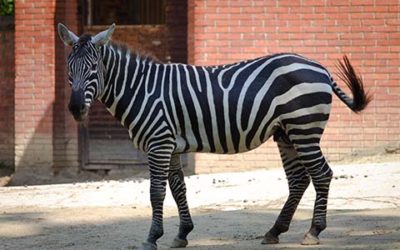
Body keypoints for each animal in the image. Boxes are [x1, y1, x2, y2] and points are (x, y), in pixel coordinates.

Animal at [57, 23, 370, 250]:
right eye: (69, 69)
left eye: (93, 69)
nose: (75, 108)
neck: (140, 89)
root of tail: (320, 67)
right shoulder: (172, 145)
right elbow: (178, 189)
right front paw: (182, 234)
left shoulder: (158, 143)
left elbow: (156, 192)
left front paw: (152, 237)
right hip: (286, 133)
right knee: (299, 180)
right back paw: (274, 231)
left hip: (304, 128)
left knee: (322, 174)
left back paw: (314, 231)